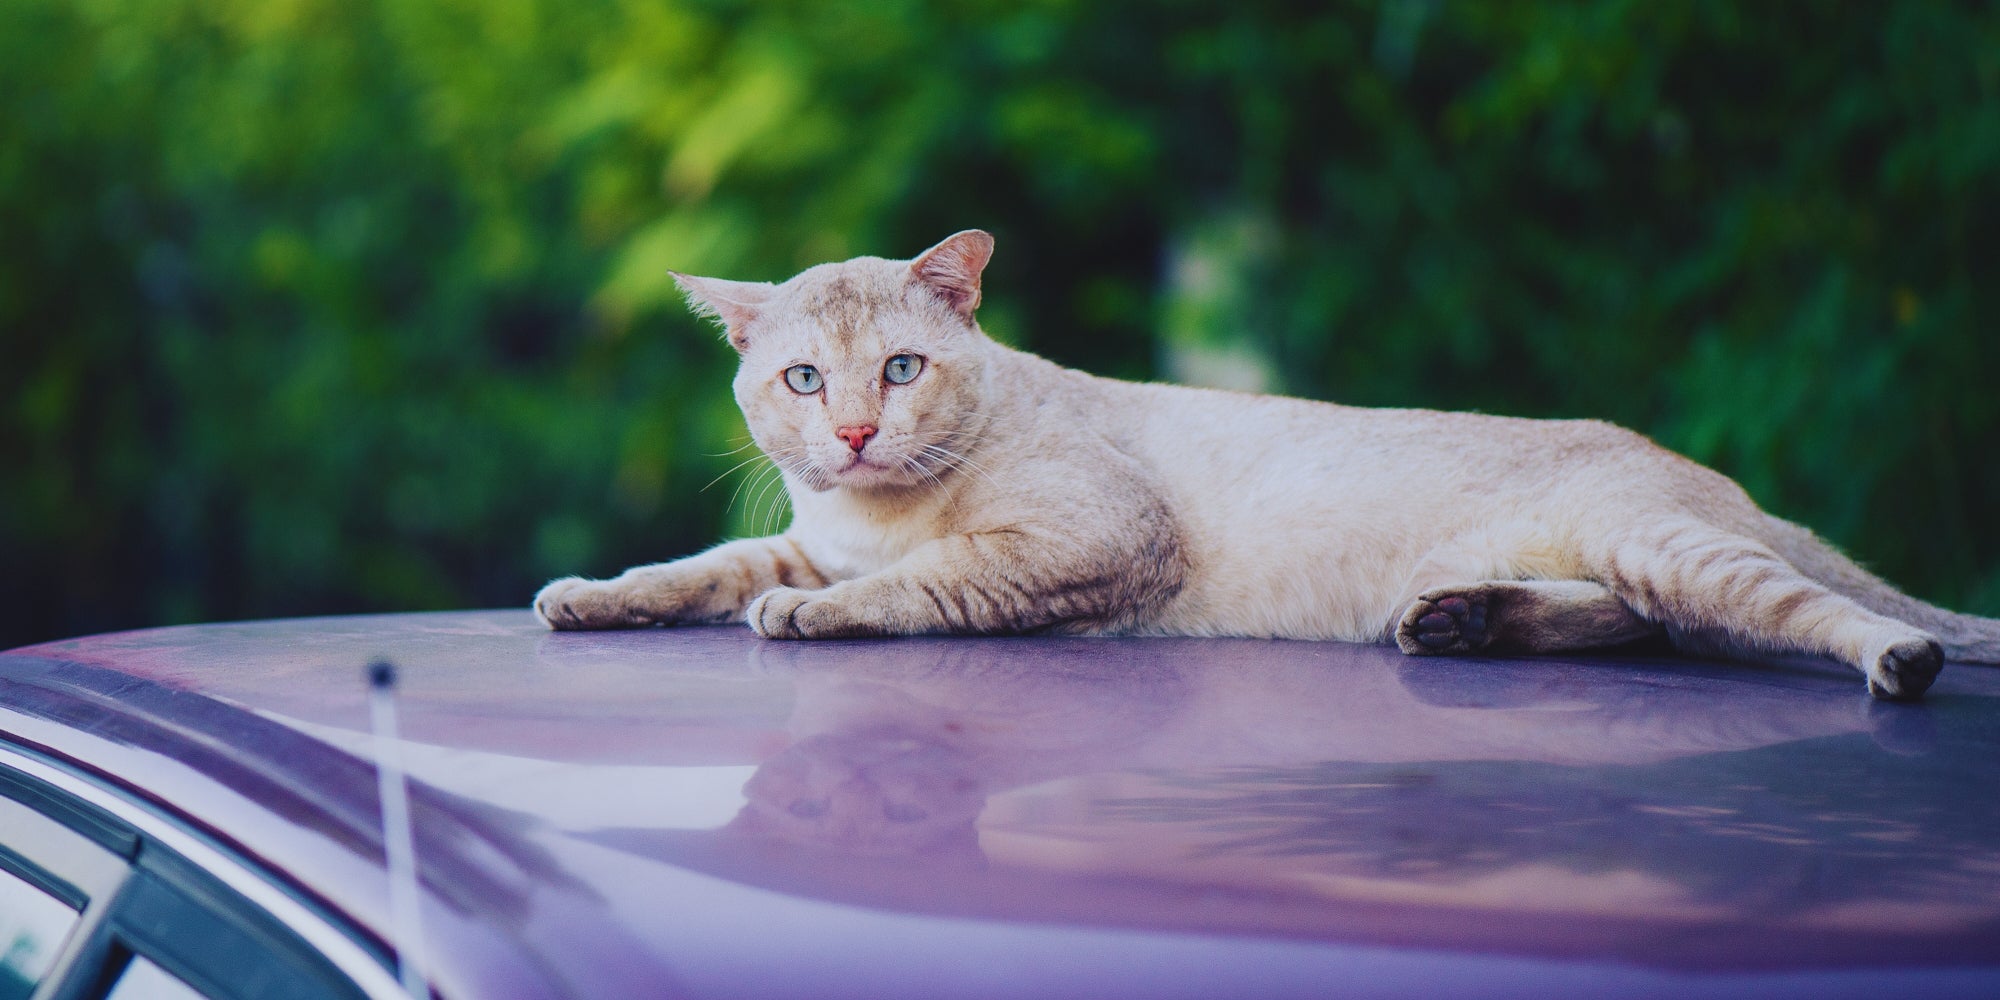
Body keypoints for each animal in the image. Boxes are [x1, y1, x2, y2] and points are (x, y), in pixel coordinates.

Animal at [532, 232, 2000, 704]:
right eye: (801, 381)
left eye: (896, 370)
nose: (847, 435)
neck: (874, 509)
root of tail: (1698, 471)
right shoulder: (802, 531)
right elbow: (697, 564)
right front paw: (588, 596)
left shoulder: (1097, 542)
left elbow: (913, 586)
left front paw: (815, 616)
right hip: (1636, 565)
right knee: (1640, 624)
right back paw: (1461, 619)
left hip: (1675, 546)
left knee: (1800, 611)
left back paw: (1897, 657)